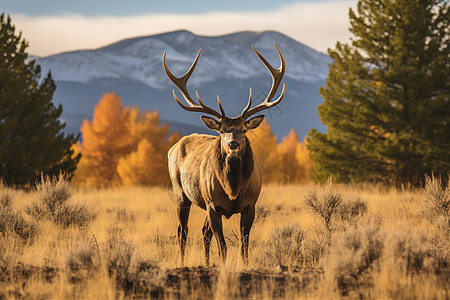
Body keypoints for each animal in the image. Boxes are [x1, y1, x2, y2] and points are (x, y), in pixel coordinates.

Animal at [163, 44, 286, 264]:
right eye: (221, 130)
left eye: (244, 130)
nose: (233, 143)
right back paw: (182, 262)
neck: (233, 189)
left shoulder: (251, 205)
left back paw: (206, 263)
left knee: (203, 232)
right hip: (180, 191)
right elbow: (224, 247)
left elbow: (244, 247)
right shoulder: (213, 205)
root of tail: (172, 148)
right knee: (182, 231)